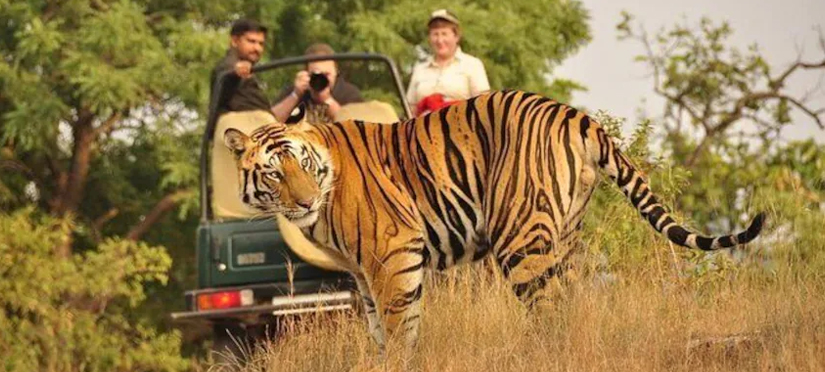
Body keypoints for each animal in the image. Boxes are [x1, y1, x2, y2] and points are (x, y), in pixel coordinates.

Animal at [222, 88, 764, 354]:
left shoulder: (393, 255)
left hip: (520, 238)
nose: (304, 201)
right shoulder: (363, 273)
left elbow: (399, 330)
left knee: (549, 311)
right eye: (274, 172)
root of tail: (575, 114)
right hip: (564, 235)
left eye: (302, 164)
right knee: (571, 304)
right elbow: (380, 330)